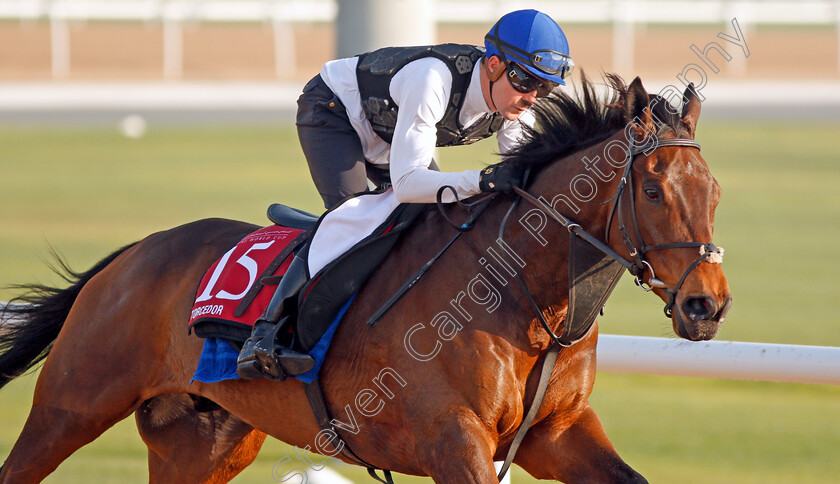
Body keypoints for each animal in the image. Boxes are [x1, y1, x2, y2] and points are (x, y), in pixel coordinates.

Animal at [1, 73, 728, 482]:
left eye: (716, 191)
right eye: (654, 191)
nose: (706, 306)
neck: (524, 301)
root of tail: (132, 254)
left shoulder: (557, 432)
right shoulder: (452, 440)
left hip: (201, 442)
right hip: (71, 407)